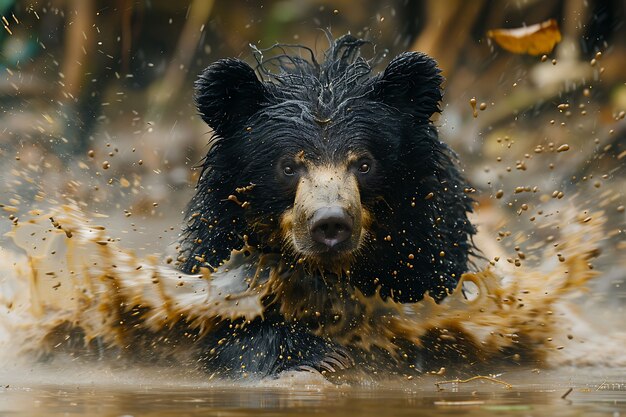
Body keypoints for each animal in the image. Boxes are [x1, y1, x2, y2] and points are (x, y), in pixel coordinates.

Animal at [176, 34, 472, 376]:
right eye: (288, 167)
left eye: (365, 164)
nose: (331, 223)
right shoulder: (222, 239)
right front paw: (319, 354)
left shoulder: (426, 246)